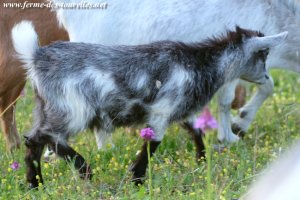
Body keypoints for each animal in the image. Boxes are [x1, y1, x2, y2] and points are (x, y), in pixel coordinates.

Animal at [11, 21, 288, 187]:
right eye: (263, 54)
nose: (266, 77)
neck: (198, 63)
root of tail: (37, 57)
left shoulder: (177, 111)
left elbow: (195, 131)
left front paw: (200, 160)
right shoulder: (161, 112)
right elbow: (151, 145)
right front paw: (137, 179)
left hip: (46, 107)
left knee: (35, 140)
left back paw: (36, 183)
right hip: (72, 109)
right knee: (47, 136)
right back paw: (83, 169)